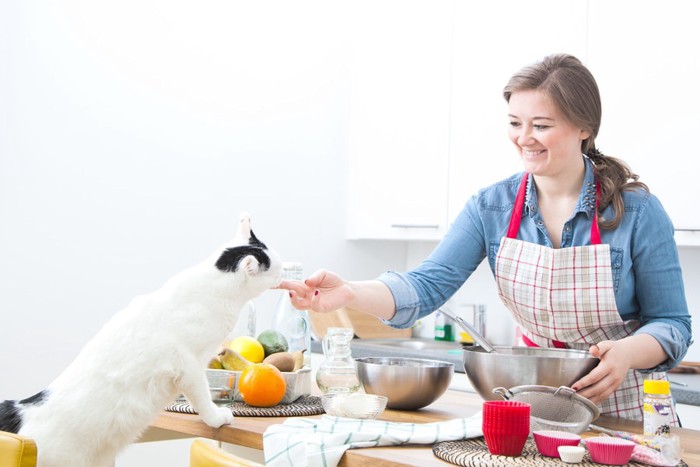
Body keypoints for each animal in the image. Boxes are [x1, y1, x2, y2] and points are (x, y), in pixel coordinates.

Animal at [2, 213, 284, 467]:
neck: (213, 289)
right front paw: (216, 417)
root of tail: (21, 410)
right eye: (276, 270)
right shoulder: (190, 366)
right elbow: (202, 397)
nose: (284, 272)